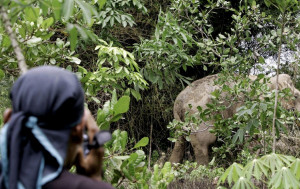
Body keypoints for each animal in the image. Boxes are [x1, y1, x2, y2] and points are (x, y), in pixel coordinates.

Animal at [169, 73, 300, 165]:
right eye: (296, 96)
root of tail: (178, 102)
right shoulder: (255, 107)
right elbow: (254, 135)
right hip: (199, 116)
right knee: (203, 144)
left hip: (179, 123)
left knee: (179, 144)